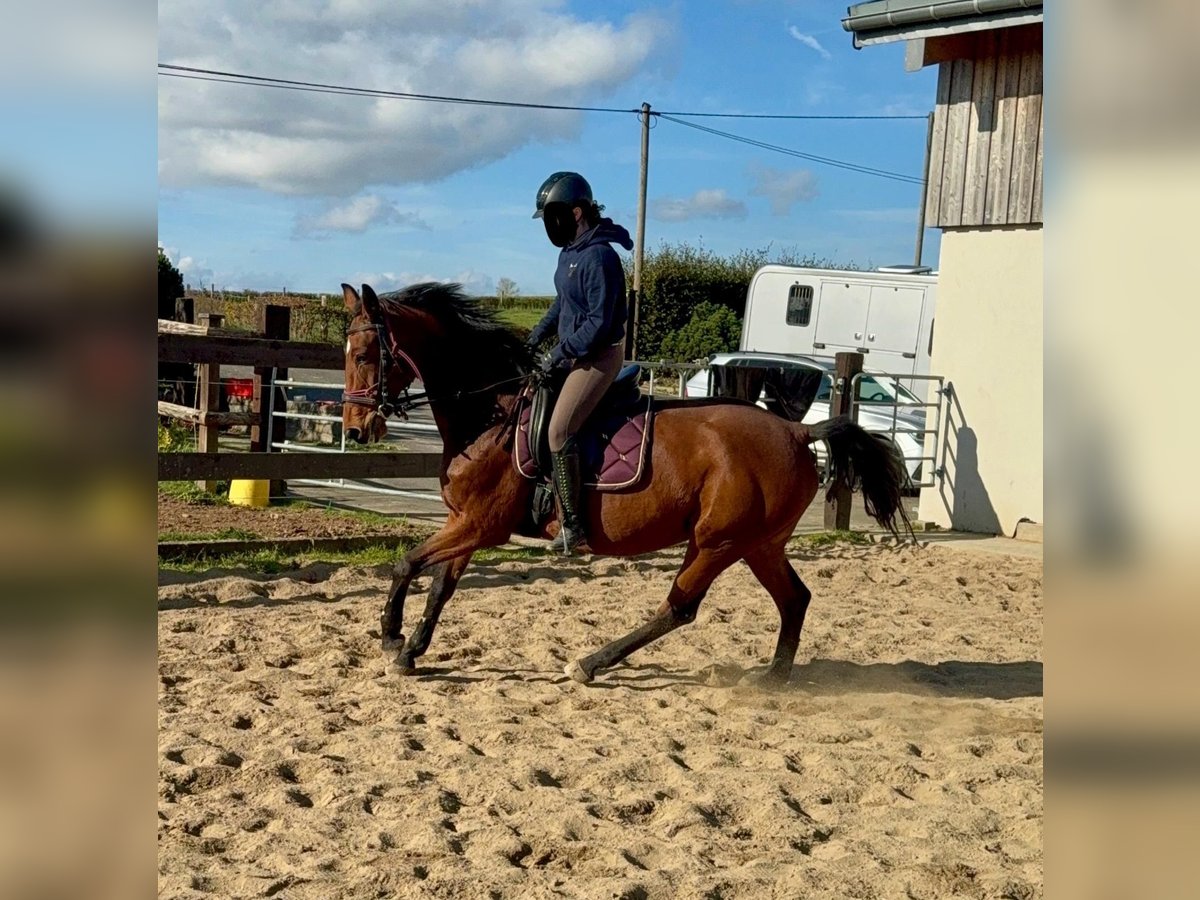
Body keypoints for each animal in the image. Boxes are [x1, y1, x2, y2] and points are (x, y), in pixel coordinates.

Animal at [340, 281, 911, 685]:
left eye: (365, 356)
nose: (355, 430)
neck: (489, 412)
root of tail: (797, 429)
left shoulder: (481, 524)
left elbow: (406, 562)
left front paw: (391, 638)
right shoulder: (466, 523)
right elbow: (440, 584)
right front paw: (412, 650)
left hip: (718, 542)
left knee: (680, 607)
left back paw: (590, 664)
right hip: (759, 544)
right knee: (794, 600)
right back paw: (773, 678)